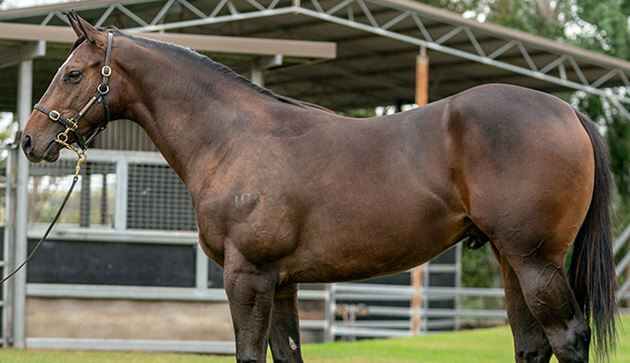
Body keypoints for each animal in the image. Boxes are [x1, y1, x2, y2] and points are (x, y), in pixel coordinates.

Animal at [22, 13, 620, 363]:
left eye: (73, 74)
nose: (30, 140)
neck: (234, 138)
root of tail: (567, 110)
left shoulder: (247, 277)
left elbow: (248, 354)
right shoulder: (282, 282)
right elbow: (286, 354)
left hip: (535, 260)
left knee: (567, 338)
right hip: (509, 260)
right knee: (532, 345)